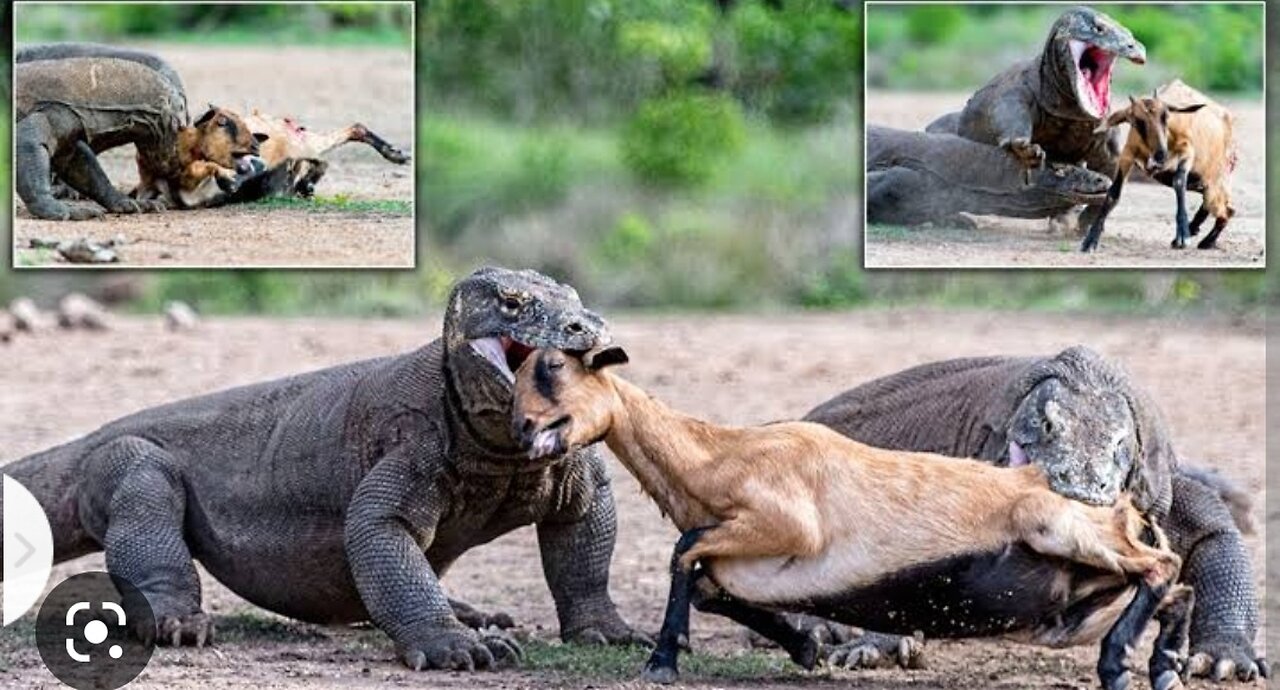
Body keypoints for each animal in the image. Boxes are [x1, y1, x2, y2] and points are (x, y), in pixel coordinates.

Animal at [0, 268, 645, 670]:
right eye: (512, 303)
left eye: (575, 299)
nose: (589, 326)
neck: (497, 448)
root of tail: (93, 435)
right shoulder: (411, 443)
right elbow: (379, 529)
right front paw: (449, 646)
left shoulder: (570, 466)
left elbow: (585, 551)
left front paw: (609, 631)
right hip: (123, 458)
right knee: (146, 502)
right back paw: (175, 620)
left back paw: (475, 613)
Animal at [509, 350, 1187, 690]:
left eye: (554, 369)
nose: (522, 428)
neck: (719, 458)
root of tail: (1126, 512)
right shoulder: (745, 562)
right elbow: (704, 581)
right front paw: (806, 645)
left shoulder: (788, 525)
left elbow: (685, 550)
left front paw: (662, 660)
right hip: (1077, 597)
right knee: (1172, 589)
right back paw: (1163, 666)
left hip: (1062, 530)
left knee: (1164, 566)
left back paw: (1119, 666)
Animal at [803, 348, 1264, 681]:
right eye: (1046, 425)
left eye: (1121, 444)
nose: (1080, 487)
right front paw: (871, 646)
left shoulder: (1156, 491)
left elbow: (1214, 536)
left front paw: (1222, 657)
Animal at [1085, 79, 1233, 250]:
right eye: (1137, 122)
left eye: (1165, 116)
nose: (1160, 154)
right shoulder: (1127, 154)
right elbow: (1113, 193)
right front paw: (1090, 241)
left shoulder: (1187, 149)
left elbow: (1179, 181)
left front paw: (1183, 236)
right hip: (1202, 183)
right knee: (1219, 207)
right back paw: (1196, 233)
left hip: (1214, 180)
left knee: (1226, 210)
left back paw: (1205, 240)